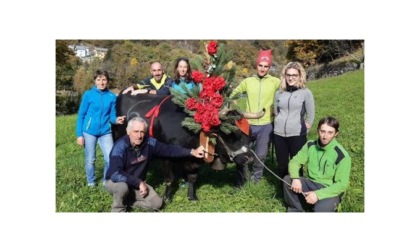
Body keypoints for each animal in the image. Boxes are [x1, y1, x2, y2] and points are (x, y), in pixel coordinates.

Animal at [111, 92, 262, 201]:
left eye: (249, 134)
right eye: (230, 133)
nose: (249, 158)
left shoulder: (195, 158)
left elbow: (192, 178)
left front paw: (192, 197)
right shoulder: (166, 155)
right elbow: (170, 179)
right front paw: (167, 198)